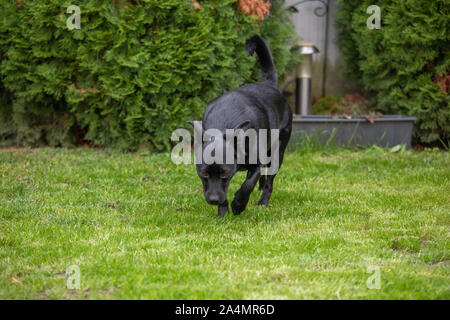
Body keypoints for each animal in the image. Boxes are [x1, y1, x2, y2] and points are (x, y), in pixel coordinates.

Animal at [189, 35, 292, 218]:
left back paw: (263, 202)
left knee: (269, 181)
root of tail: (269, 85)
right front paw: (223, 213)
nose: (214, 200)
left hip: (277, 153)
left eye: (225, 173)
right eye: (204, 173)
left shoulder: (257, 164)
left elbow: (248, 184)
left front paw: (238, 205)